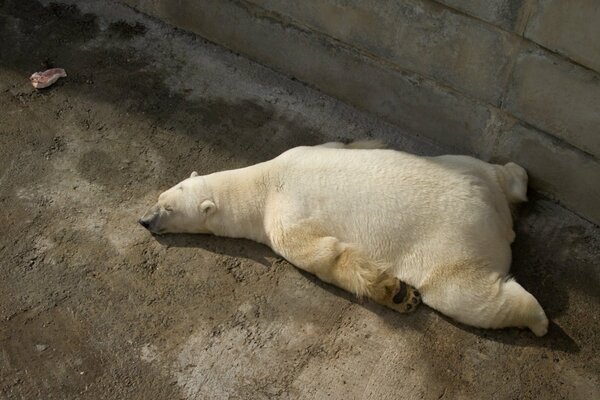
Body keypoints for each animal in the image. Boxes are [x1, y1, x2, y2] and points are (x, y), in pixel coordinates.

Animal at [139, 141, 548, 334]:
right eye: (159, 197)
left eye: (168, 209)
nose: (144, 220)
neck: (264, 181)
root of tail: (492, 211)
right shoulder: (305, 151)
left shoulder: (282, 217)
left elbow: (321, 253)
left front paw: (394, 290)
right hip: (466, 166)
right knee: (502, 171)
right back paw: (518, 177)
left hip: (451, 244)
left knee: (464, 294)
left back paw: (537, 319)